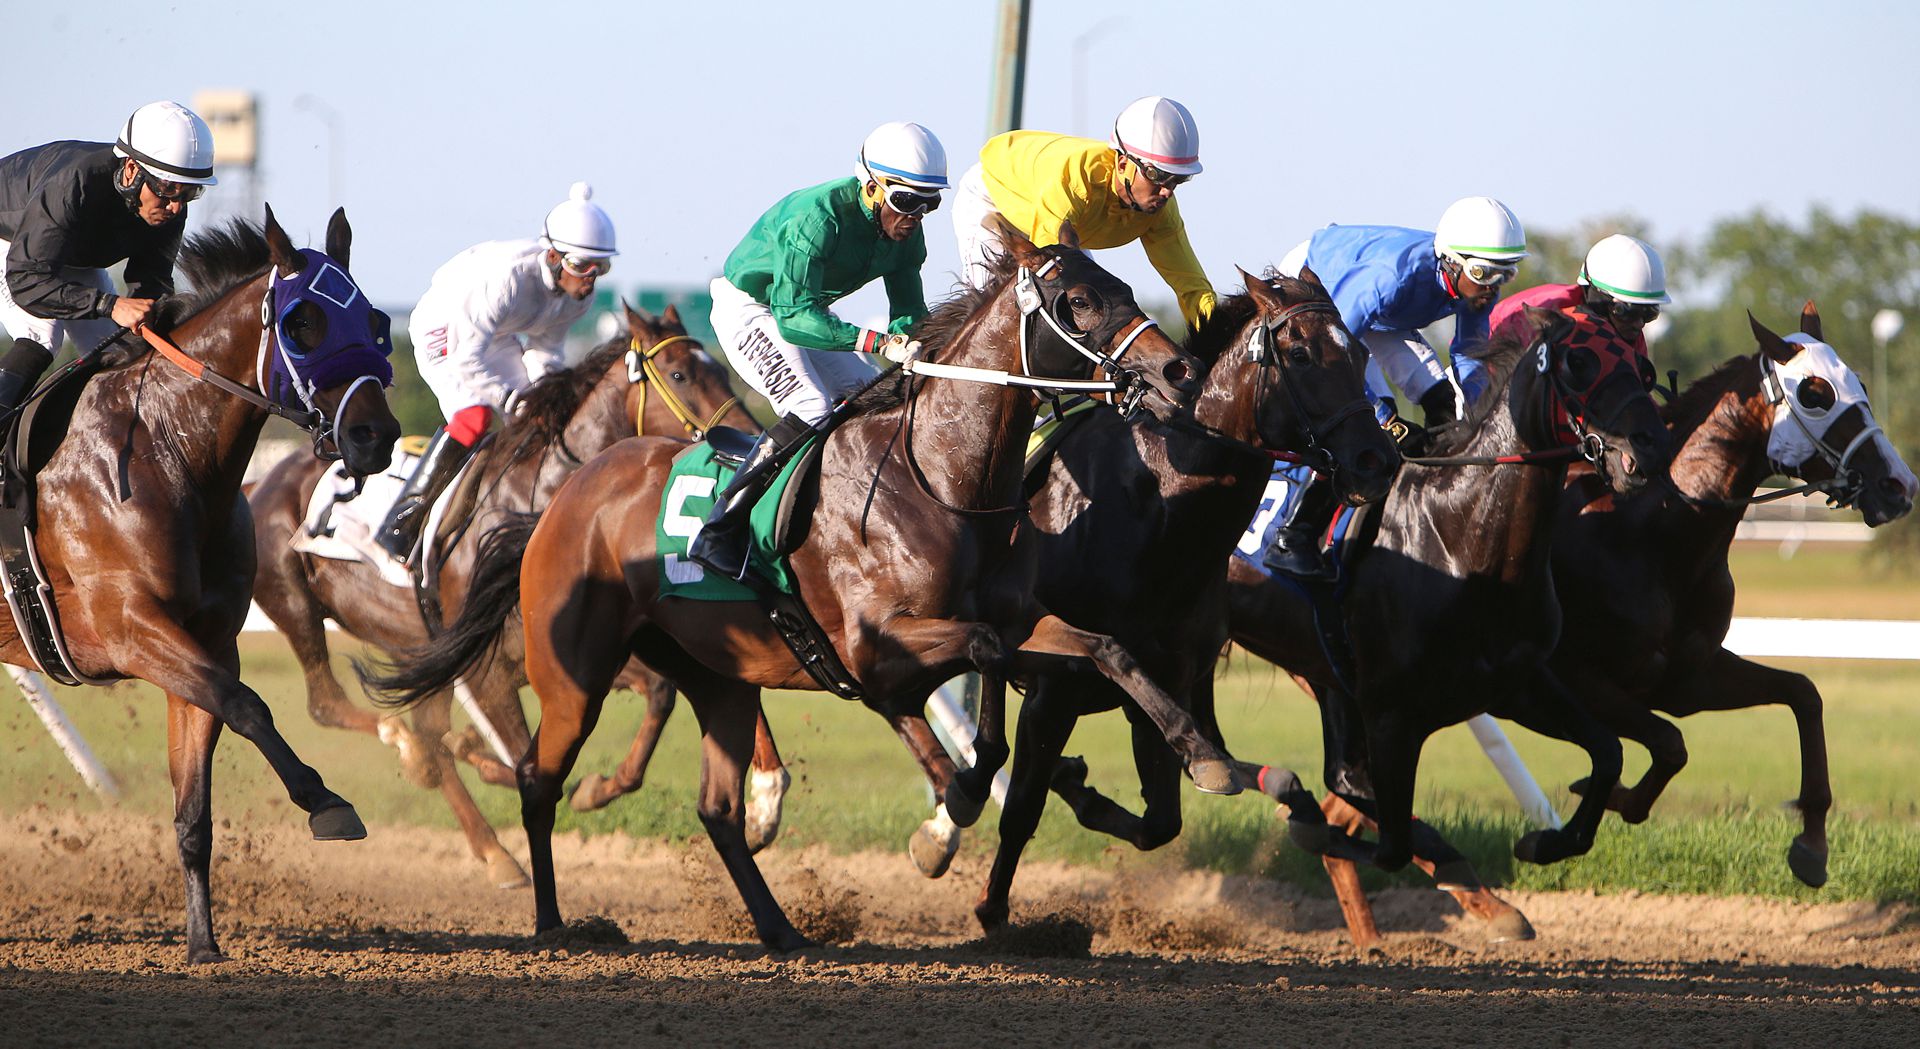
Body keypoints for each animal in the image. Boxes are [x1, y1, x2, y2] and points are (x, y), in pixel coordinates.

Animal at [0, 208, 401, 960]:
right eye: (303, 323)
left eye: (375, 319)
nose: (375, 436)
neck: (168, 450)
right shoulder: (129, 630)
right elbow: (248, 705)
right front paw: (327, 803)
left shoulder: (208, 639)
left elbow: (195, 808)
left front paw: (203, 944)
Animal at [249, 301, 771, 883]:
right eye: (679, 375)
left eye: (721, 369)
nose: (753, 440)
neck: (537, 503)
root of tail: (261, 482)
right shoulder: (491, 671)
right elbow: (527, 762)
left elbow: (659, 694)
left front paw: (599, 788)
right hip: (296, 604)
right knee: (333, 705)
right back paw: (410, 751)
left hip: (409, 644)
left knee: (427, 731)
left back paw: (492, 846)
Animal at [362, 224, 1259, 941]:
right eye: (1076, 300)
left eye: (1124, 286)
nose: (1180, 369)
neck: (940, 479)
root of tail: (558, 503)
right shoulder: (875, 646)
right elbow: (977, 665)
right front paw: (953, 808)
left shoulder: (1021, 620)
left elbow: (1101, 650)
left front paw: (1203, 754)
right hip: (574, 675)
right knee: (536, 779)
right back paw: (552, 919)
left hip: (717, 679)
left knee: (717, 811)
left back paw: (780, 927)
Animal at [1228, 303, 1681, 883]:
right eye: (1578, 361)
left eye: (1643, 367)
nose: (1653, 444)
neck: (1461, 537)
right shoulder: (1391, 715)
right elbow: (1391, 845)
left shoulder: (1515, 684)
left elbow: (1608, 754)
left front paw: (1544, 842)